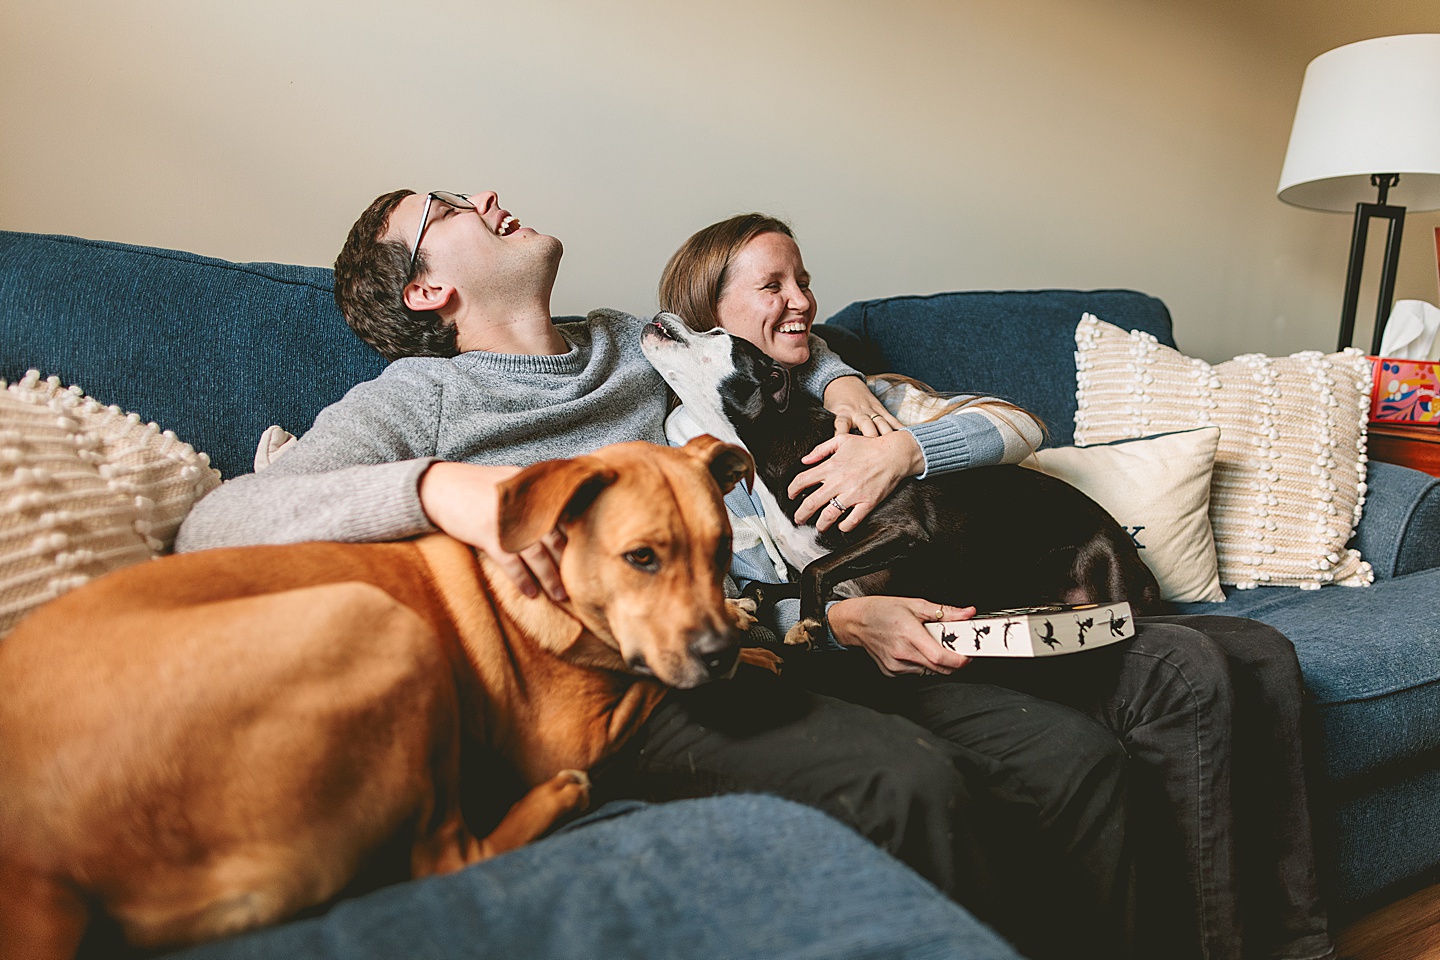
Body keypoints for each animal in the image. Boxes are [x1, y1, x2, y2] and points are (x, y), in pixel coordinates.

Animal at [0, 437, 760, 960]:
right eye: (641, 558)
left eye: (723, 549)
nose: (718, 653)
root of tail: (34, 866)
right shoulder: (569, 734)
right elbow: (649, 680)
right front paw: (753, 652)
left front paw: (747, 628)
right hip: (388, 631)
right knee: (445, 857)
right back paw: (558, 800)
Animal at [642, 315, 1157, 644]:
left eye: (714, 332)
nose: (659, 314)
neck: (772, 442)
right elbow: (768, 584)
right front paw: (745, 607)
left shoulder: (900, 531)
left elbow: (815, 570)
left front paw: (809, 625)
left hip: (1113, 588)